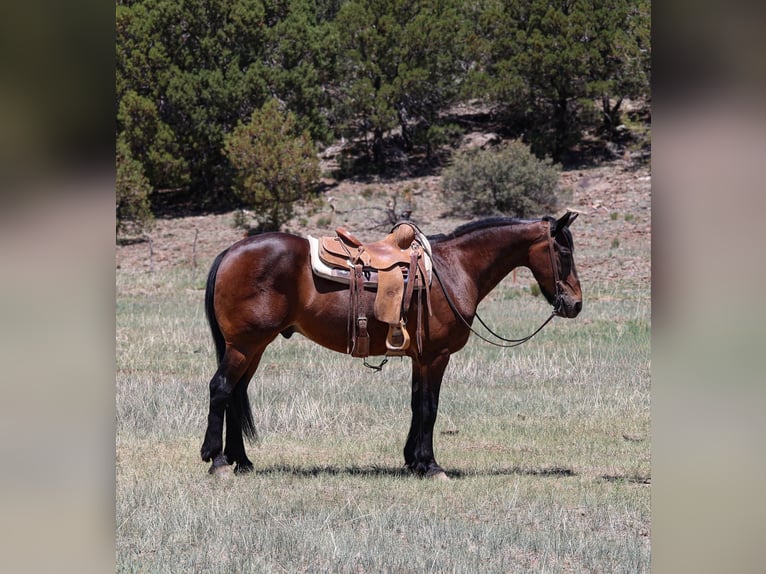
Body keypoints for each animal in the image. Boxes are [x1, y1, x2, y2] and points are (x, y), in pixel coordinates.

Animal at [200, 211, 582, 478]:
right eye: (563, 250)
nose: (575, 304)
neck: (454, 269)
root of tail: (230, 252)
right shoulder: (436, 357)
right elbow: (429, 407)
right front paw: (431, 466)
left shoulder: (419, 358)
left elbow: (416, 405)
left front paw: (412, 461)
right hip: (244, 345)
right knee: (221, 388)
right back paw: (217, 460)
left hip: (252, 348)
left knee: (236, 392)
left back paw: (242, 460)